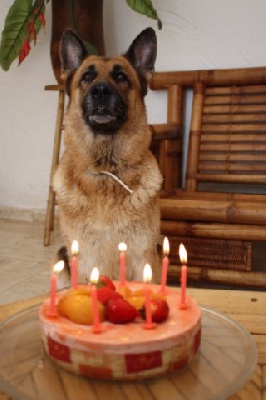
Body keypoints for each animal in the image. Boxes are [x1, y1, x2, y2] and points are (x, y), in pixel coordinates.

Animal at [54, 27, 162, 284]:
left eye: (121, 77)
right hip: (61, 259)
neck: (106, 170)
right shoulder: (85, 264)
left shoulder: (144, 260)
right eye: (87, 77)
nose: (101, 91)